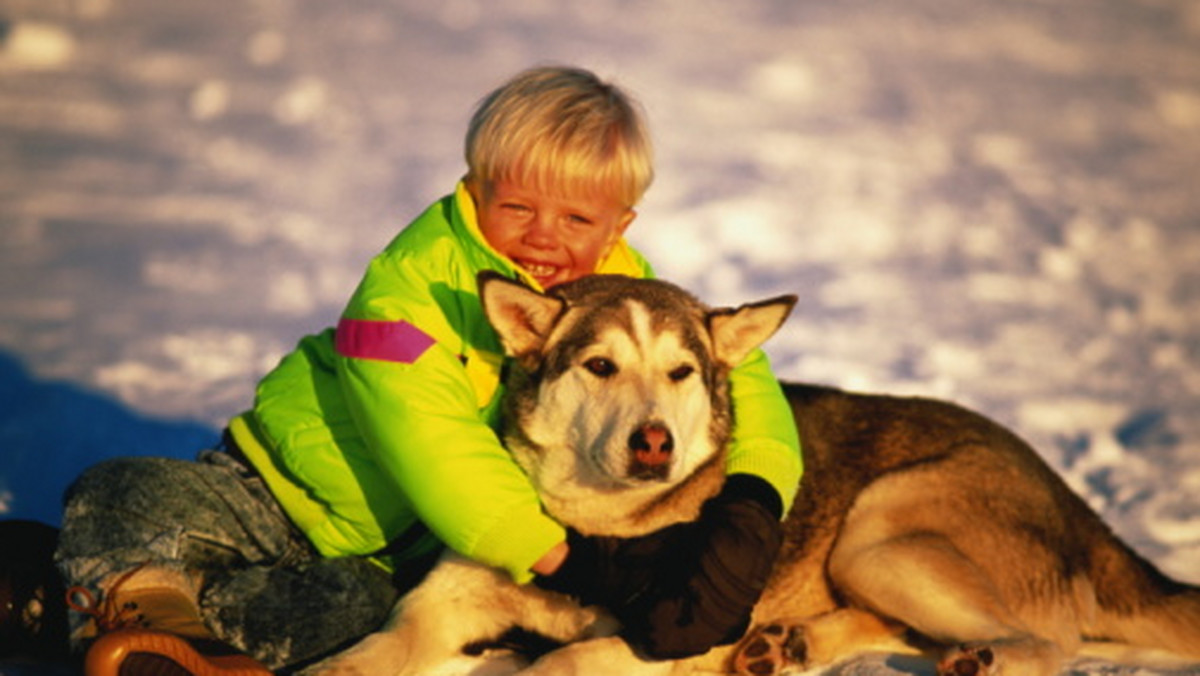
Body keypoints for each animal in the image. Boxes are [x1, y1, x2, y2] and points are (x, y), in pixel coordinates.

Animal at [307, 272, 1200, 672]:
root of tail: (1079, 506)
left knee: (1046, 639)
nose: (654, 444)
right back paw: (785, 645)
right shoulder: (442, 605)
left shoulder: (656, 640)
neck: (598, 532)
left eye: (680, 372)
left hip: (880, 530)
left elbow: (559, 663)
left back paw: (976, 660)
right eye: (599, 365)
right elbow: (365, 653)